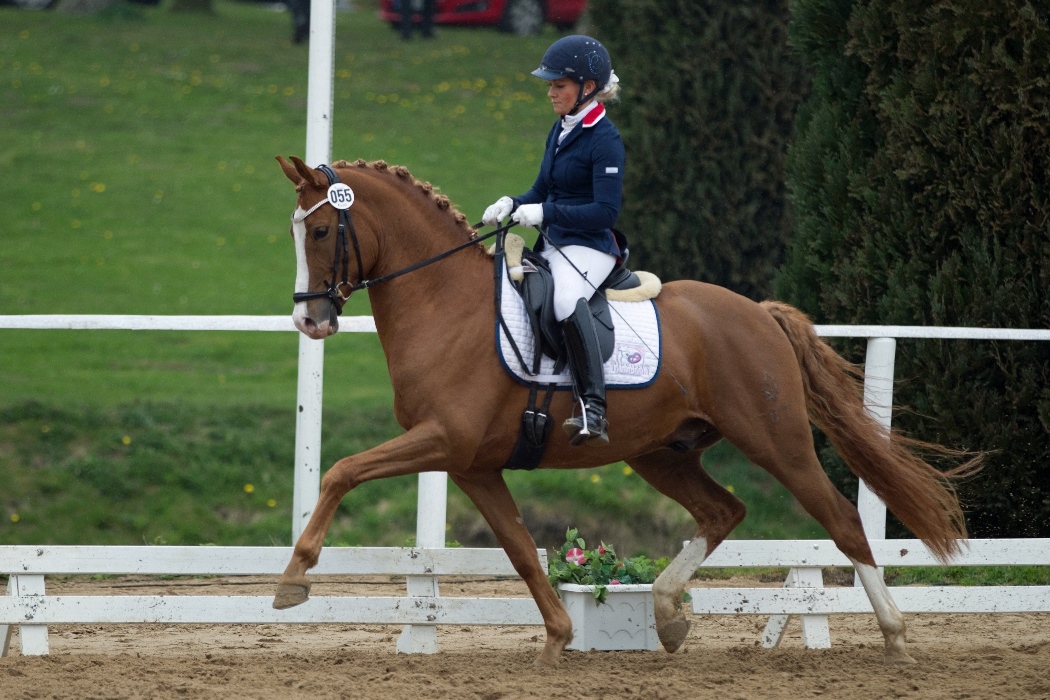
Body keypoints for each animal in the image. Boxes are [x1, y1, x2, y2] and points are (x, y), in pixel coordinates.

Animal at [273, 156, 974, 667]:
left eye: (322, 230)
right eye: (296, 231)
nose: (309, 321)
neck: (445, 303)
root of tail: (758, 312)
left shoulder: (443, 439)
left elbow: (340, 471)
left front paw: (294, 580)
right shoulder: (473, 464)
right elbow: (521, 548)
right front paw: (559, 637)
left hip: (776, 441)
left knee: (842, 521)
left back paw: (895, 635)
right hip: (661, 454)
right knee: (723, 511)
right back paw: (666, 613)